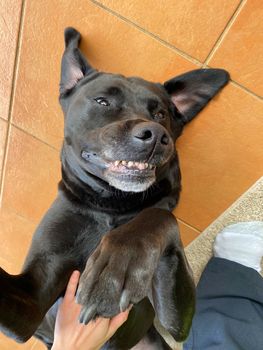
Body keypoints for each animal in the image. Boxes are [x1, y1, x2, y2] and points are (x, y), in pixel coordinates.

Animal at [0, 28, 231, 350]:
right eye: (102, 102)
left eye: (161, 114)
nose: (155, 135)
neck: (110, 204)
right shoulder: (31, 301)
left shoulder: (177, 324)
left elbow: (161, 216)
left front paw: (120, 263)